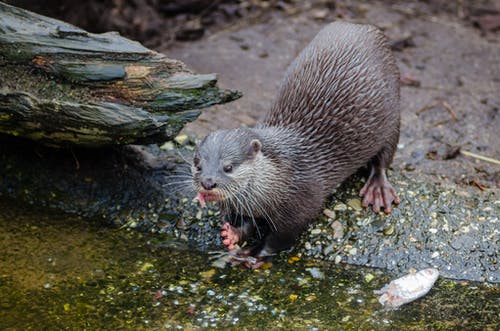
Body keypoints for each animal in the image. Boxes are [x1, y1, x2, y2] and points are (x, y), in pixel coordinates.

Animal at [192, 22, 402, 268]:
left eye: (228, 167)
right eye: (198, 165)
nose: (207, 182)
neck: (282, 177)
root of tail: (361, 26)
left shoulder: (301, 204)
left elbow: (280, 238)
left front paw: (253, 253)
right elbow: (248, 224)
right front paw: (232, 235)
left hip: (392, 115)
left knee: (384, 157)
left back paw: (378, 189)